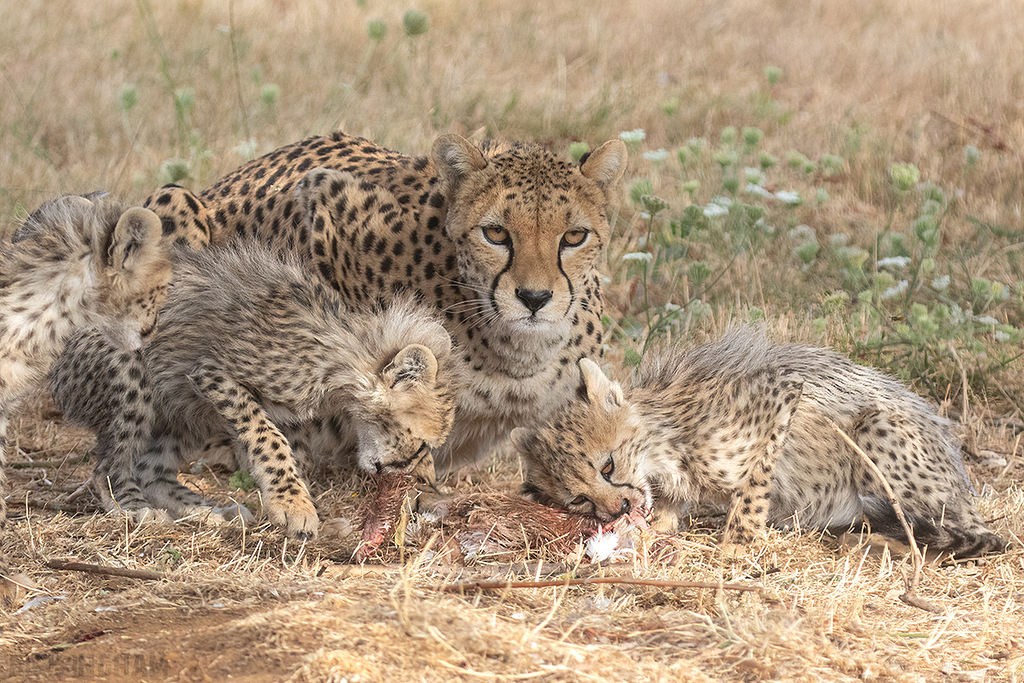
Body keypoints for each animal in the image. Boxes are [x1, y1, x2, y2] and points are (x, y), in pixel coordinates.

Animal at [51, 242, 460, 539]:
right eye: (422, 443)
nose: (418, 476)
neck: (340, 352)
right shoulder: (211, 372)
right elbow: (269, 439)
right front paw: (294, 506)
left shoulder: (285, 414)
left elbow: (294, 452)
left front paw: (296, 502)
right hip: (136, 374)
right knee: (108, 465)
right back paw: (135, 507)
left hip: (188, 411)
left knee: (153, 469)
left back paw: (208, 511)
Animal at [514, 327, 1007, 557]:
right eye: (578, 499)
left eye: (608, 466)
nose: (617, 509)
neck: (663, 438)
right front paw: (656, 526)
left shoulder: (783, 395)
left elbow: (752, 489)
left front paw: (738, 543)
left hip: (876, 428)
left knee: (965, 537)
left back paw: (869, 542)